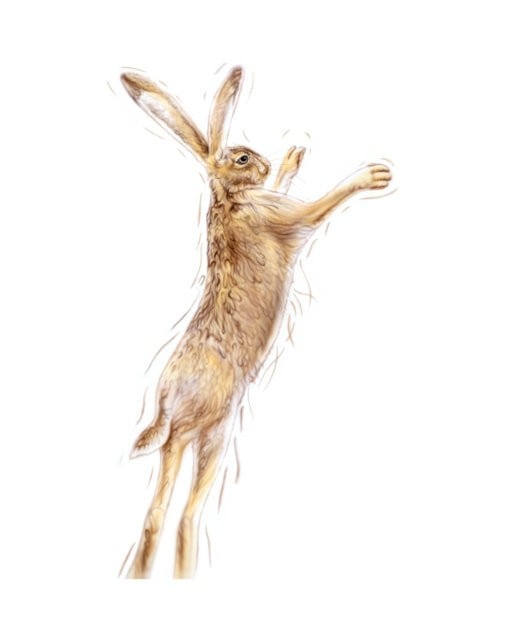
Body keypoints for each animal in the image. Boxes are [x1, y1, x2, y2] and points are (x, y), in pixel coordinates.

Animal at [119, 66, 392, 579]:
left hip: (197, 438)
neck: (230, 197)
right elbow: (320, 204)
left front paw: (294, 155)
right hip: (209, 431)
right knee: (183, 515)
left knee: (162, 516)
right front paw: (374, 175)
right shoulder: (288, 219)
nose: (262, 164)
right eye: (242, 158)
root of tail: (164, 405)